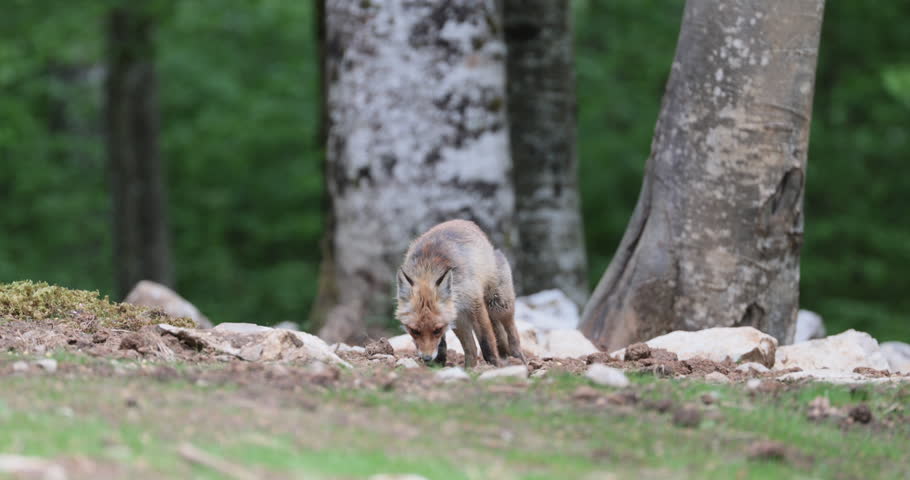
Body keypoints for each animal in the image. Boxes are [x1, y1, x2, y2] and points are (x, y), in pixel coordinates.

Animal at [395, 219, 525, 368]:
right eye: (415, 331)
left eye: (437, 330)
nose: (427, 358)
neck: (428, 269)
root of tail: (464, 221)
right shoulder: (453, 316)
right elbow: (451, 346)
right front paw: (440, 365)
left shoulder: (475, 305)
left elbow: (486, 342)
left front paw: (493, 365)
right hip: (462, 317)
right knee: (474, 347)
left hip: (498, 305)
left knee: (511, 329)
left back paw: (518, 357)